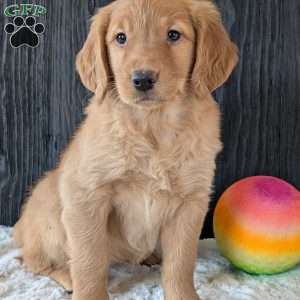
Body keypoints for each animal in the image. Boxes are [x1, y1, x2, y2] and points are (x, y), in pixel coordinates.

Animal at [14, 0, 238, 298]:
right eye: (121, 38)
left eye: (174, 35)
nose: (142, 79)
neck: (153, 126)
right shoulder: (86, 195)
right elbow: (89, 259)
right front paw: (89, 293)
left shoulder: (191, 202)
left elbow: (180, 262)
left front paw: (182, 294)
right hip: (51, 215)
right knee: (33, 259)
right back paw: (66, 276)